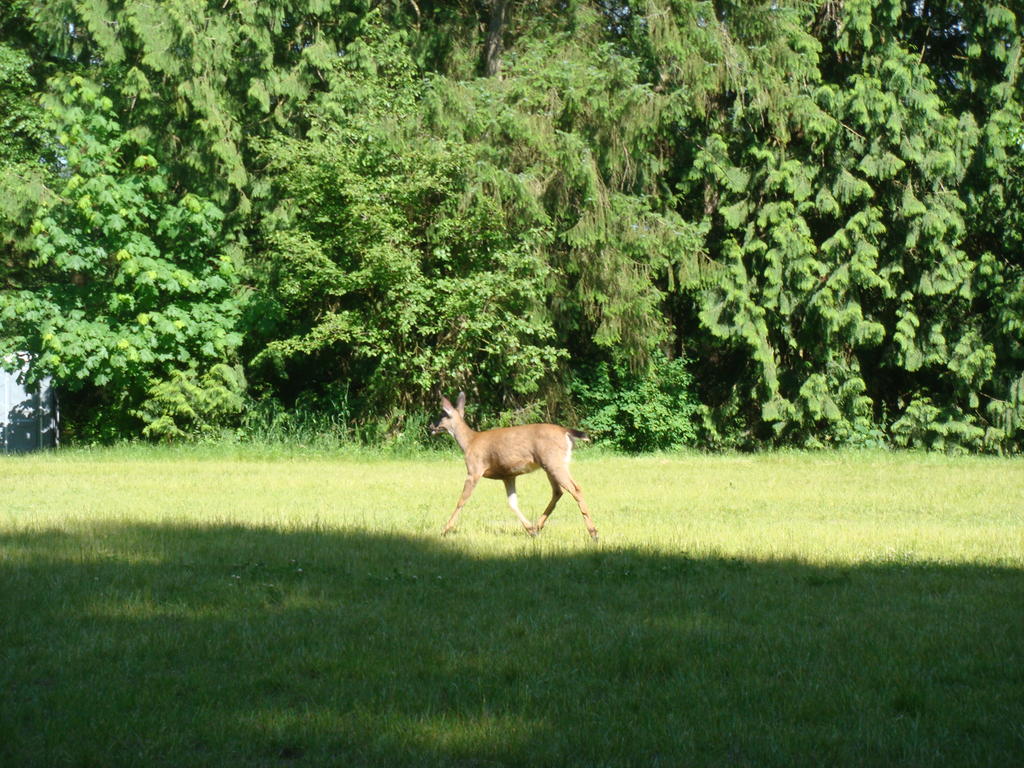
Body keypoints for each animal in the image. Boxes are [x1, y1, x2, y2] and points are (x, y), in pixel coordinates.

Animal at [429, 392, 599, 540]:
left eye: (442, 415)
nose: (430, 426)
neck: (469, 442)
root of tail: (566, 431)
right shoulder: (508, 475)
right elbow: (512, 503)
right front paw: (530, 529)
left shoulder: (474, 470)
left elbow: (462, 500)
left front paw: (445, 529)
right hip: (551, 464)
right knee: (558, 492)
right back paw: (537, 527)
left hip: (553, 461)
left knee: (575, 489)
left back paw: (594, 533)